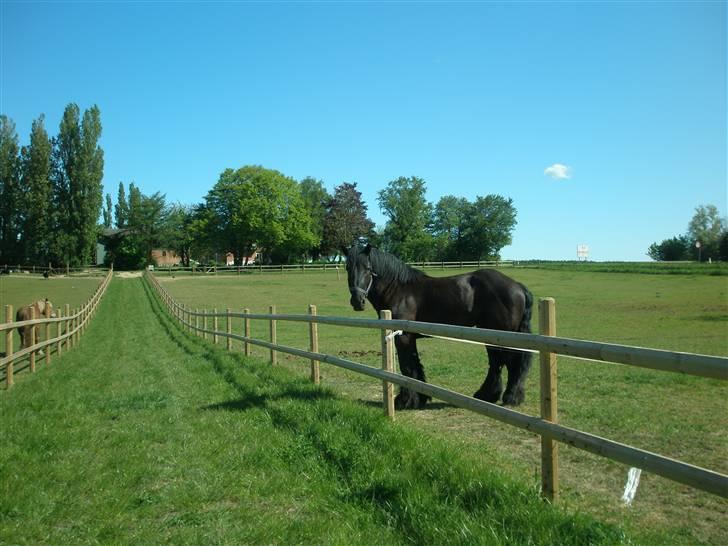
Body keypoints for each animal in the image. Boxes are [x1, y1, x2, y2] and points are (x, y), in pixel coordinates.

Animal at [344, 243, 532, 408]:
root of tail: (517, 286)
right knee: (497, 363)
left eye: (368, 268)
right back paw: (487, 396)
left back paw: (510, 397)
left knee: (510, 363)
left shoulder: (403, 337)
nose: (357, 301)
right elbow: (415, 366)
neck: (399, 289)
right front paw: (420, 398)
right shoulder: (410, 338)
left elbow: (407, 367)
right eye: (347, 267)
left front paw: (405, 401)